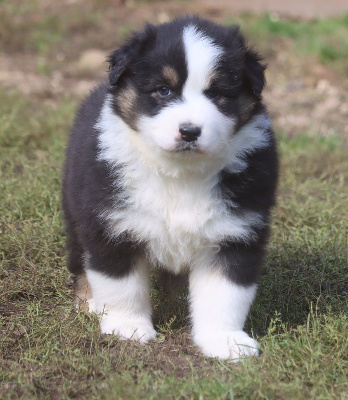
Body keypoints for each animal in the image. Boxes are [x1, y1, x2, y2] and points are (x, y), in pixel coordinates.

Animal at [62, 14, 278, 360]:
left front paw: (225, 341)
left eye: (218, 94)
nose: (189, 131)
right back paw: (91, 301)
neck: (180, 172)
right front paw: (128, 328)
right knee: (80, 258)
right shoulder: (111, 224)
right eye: (163, 90)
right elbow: (120, 284)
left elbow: (225, 293)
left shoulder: (237, 231)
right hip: (75, 210)